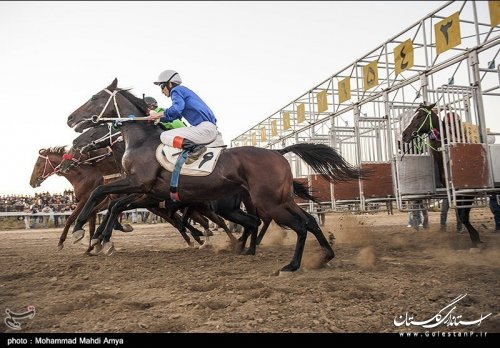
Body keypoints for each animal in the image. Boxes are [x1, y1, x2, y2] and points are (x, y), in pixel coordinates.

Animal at [65, 79, 364, 272]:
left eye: (95, 98)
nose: (70, 119)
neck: (142, 140)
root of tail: (279, 151)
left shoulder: (139, 184)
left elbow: (101, 194)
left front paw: (83, 233)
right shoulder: (145, 191)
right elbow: (113, 203)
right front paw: (99, 238)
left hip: (267, 202)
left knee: (294, 225)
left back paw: (290, 264)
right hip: (280, 199)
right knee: (307, 221)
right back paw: (323, 255)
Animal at [402, 102, 480, 246]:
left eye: (419, 116)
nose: (404, 135)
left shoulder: (469, 190)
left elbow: (463, 214)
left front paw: (475, 238)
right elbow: (460, 213)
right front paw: (474, 237)